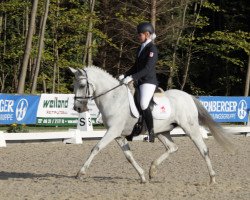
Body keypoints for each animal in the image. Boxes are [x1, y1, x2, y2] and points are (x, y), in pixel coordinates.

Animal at [69, 66, 234, 184]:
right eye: (74, 85)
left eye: (82, 85)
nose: (77, 108)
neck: (113, 98)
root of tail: (188, 96)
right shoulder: (118, 135)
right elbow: (129, 156)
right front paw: (142, 176)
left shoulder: (113, 131)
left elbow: (96, 148)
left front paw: (80, 173)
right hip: (162, 131)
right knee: (172, 147)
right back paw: (152, 170)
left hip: (190, 128)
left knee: (203, 149)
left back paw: (212, 178)